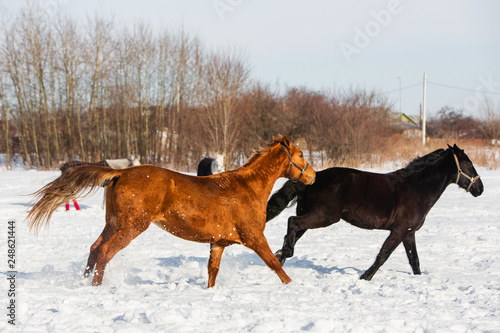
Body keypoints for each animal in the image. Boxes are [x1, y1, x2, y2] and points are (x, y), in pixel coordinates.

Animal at [26, 136, 312, 286]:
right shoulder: (253, 237)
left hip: (113, 222)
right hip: (132, 226)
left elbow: (212, 272)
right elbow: (275, 263)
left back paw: (83, 282)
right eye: (300, 155)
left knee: (95, 249)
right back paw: (96, 286)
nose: (312, 176)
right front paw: (292, 286)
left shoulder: (218, 243)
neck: (245, 188)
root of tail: (121, 173)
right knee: (105, 252)